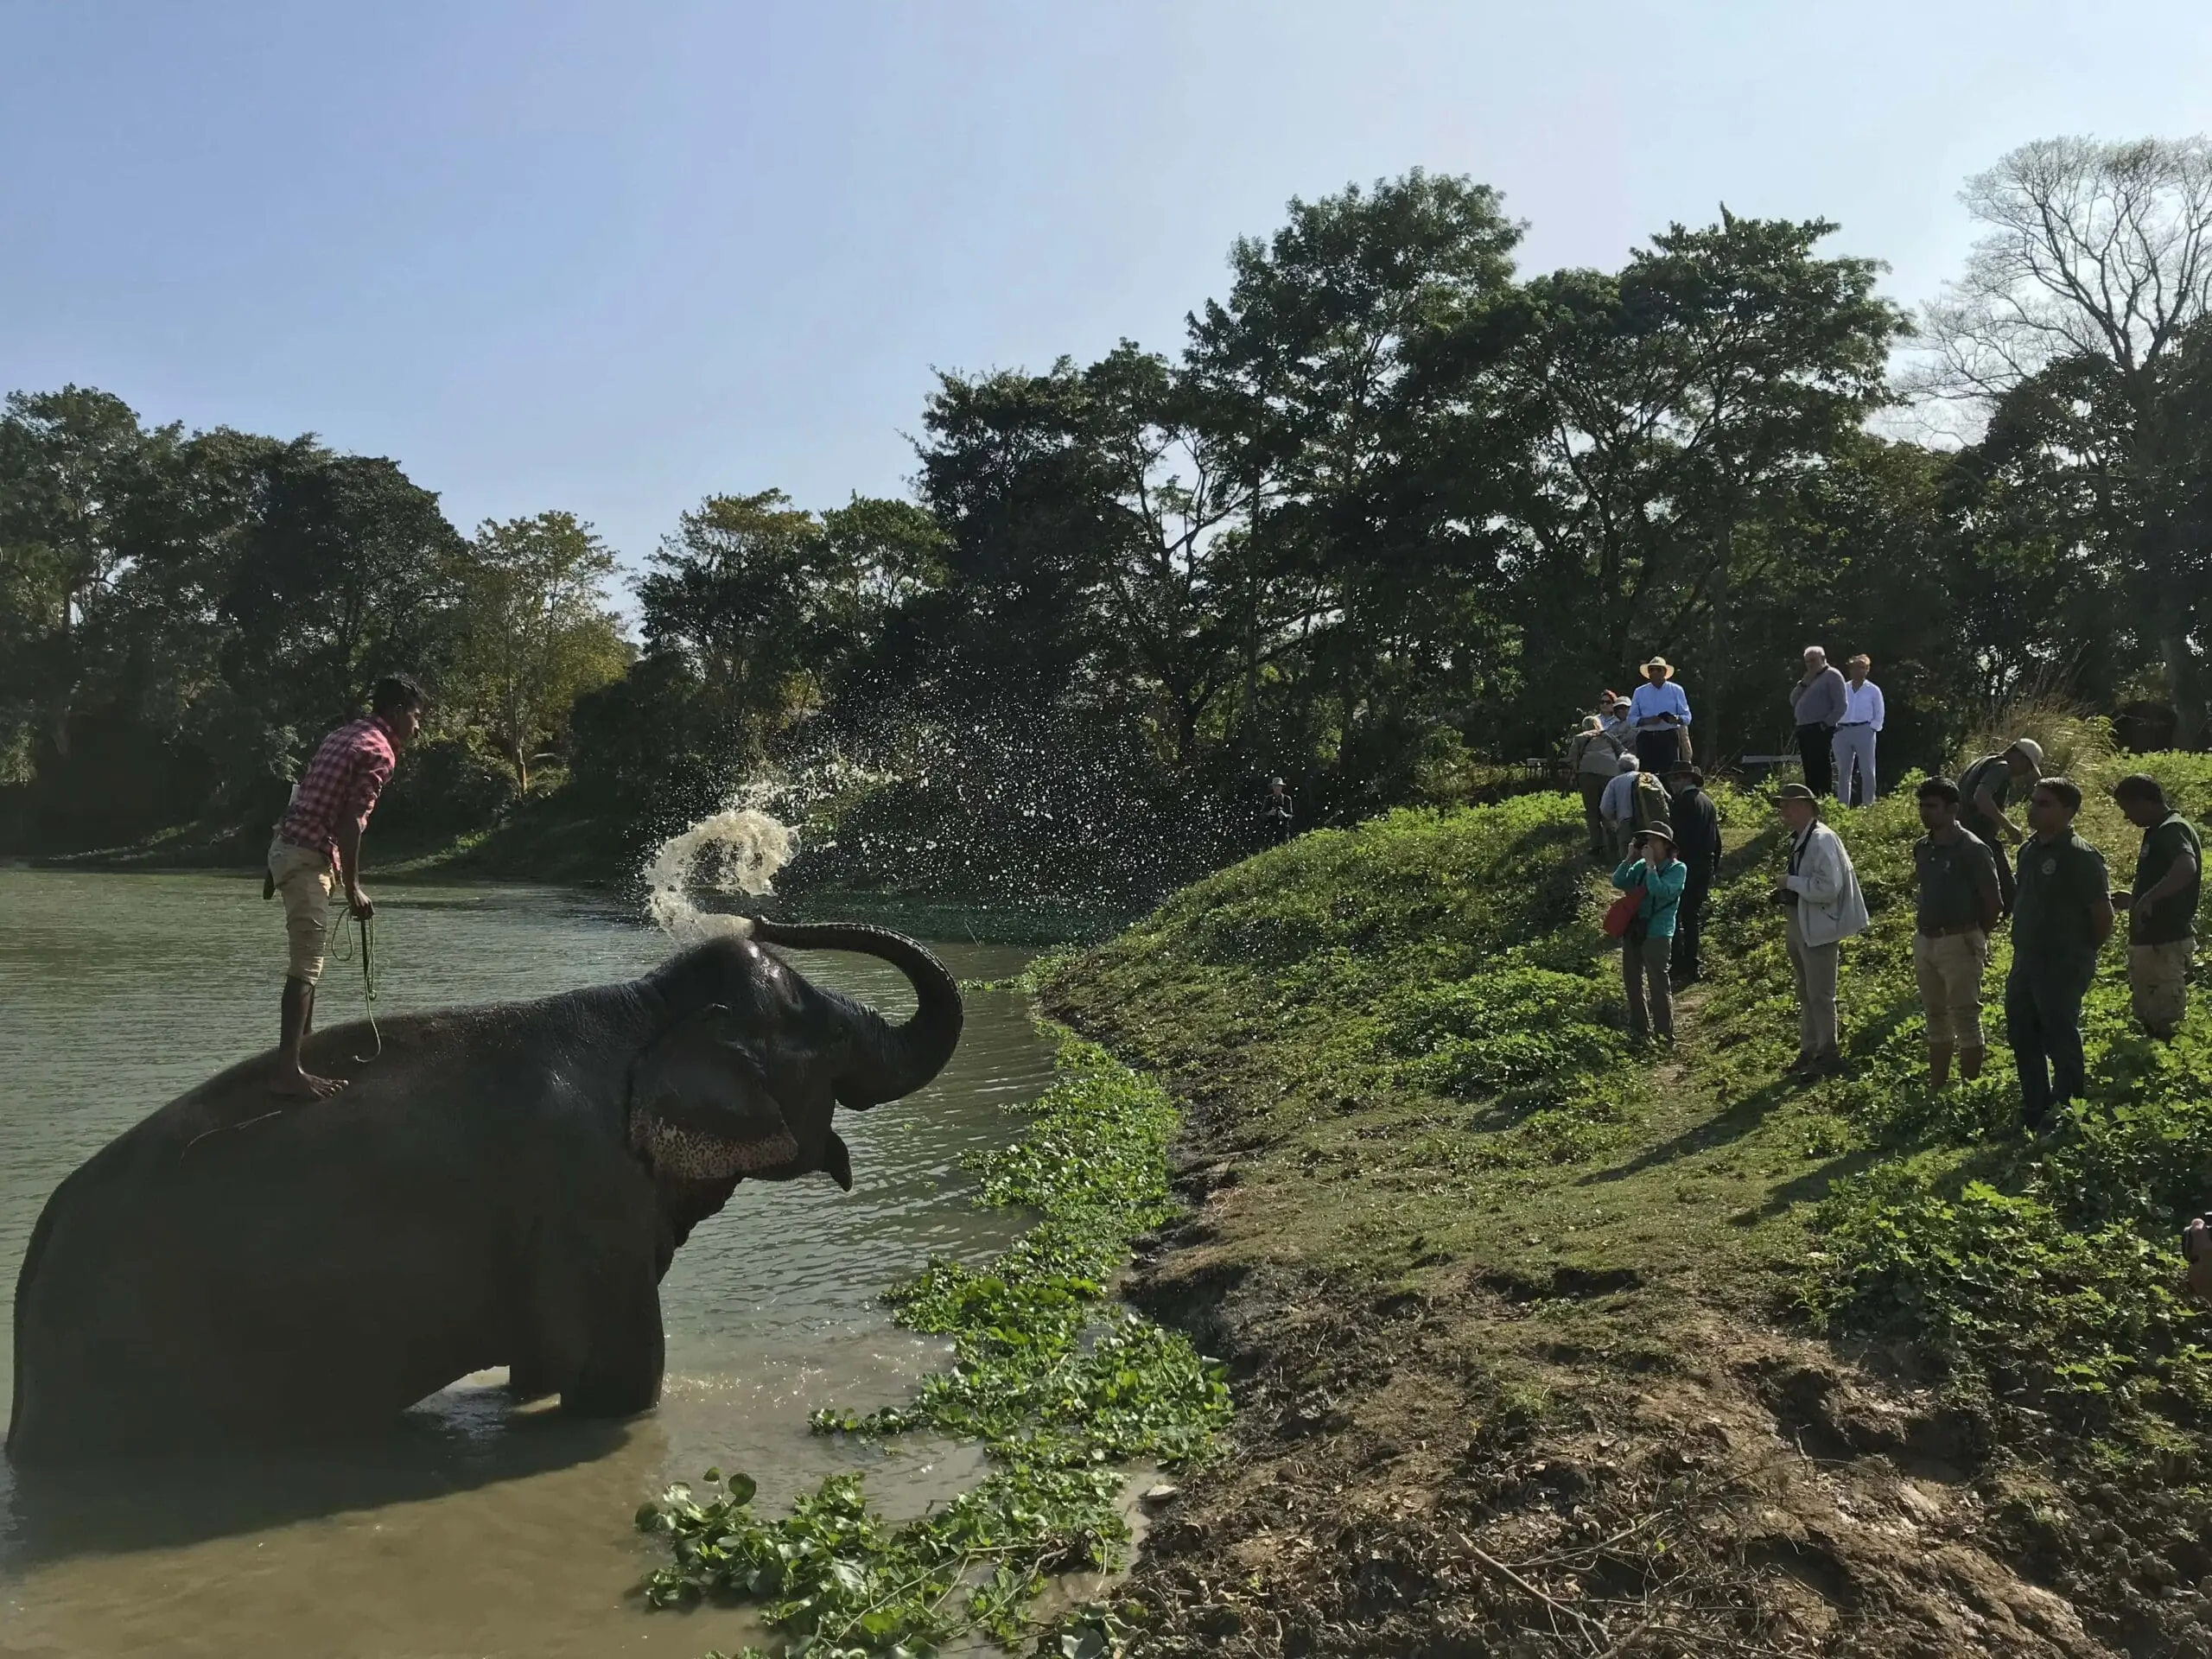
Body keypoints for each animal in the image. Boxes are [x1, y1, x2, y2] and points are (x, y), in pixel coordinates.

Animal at [6, 919, 962, 1463]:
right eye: (830, 1039)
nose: (767, 907)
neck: (643, 1011)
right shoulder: (586, 1200)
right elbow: (618, 1379)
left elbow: (539, 1366)